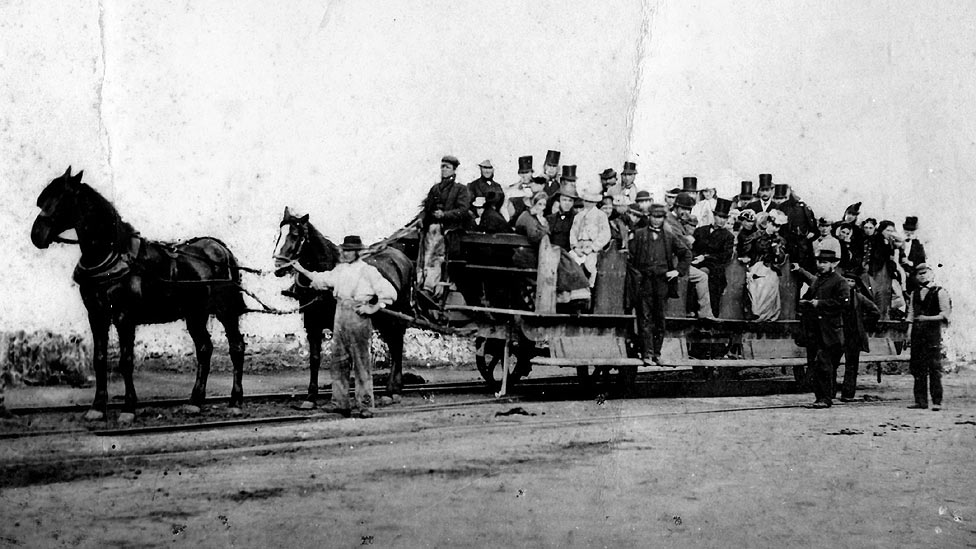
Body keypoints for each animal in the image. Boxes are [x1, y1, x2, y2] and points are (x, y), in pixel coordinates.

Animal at [31, 167, 248, 424]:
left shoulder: (124, 317)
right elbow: (99, 359)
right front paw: (97, 407)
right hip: (195, 314)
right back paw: (195, 401)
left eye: (63, 199)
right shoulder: (96, 315)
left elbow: (126, 361)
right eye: (44, 199)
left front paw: (128, 408)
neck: (112, 256)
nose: (37, 235)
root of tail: (220, 248)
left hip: (226, 311)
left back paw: (235, 402)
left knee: (236, 347)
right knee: (205, 348)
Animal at [272, 208, 414, 404]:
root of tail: (403, 258)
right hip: (384, 319)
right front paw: (311, 396)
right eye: (279, 234)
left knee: (397, 344)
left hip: (395, 316)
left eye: (294, 235)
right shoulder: (312, 324)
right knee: (394, 344)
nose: (278, 266)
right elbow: (314, 358)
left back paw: (392, 390)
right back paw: (393, 388)